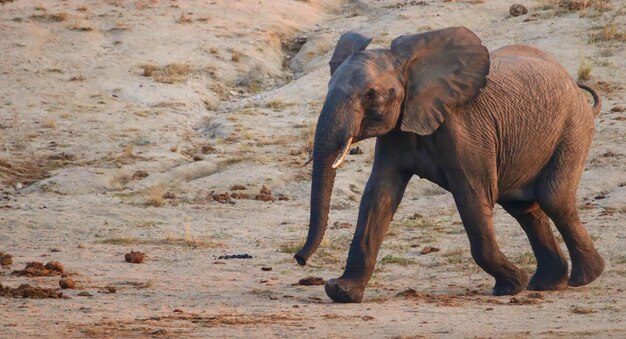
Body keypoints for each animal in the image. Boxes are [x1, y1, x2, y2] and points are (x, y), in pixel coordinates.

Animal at [294, 25, 604, 302]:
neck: (411, 67)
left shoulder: (466, 130)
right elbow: (378, 198)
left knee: (554, 198)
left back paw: (583, 279)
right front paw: (341, 292)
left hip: (573, 129)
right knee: (525, 208)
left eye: (370, 95)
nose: (299, 259)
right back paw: (547, 284)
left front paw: (512, 285)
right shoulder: (397, 132)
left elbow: (473, 198)